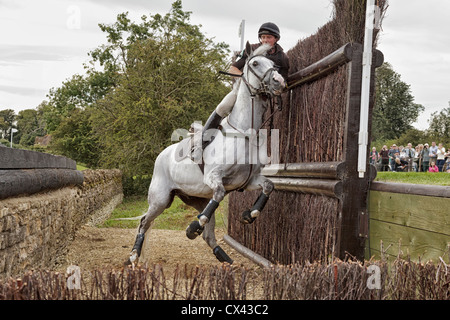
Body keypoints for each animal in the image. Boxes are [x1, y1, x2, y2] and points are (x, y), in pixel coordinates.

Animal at [126, 43, 282, 266]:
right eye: (255, 63)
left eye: (274, 64)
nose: (279, 80)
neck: (245, 134)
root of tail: (162, 154)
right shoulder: (213, 177)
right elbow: (219, 194)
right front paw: (192, 228)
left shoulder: (248, 180)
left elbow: (268, 186)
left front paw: (249, 214)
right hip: (160, 199)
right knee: (144, 222)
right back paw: (133, 255)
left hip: (195, 197)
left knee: (208, 234)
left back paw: (226, 260)